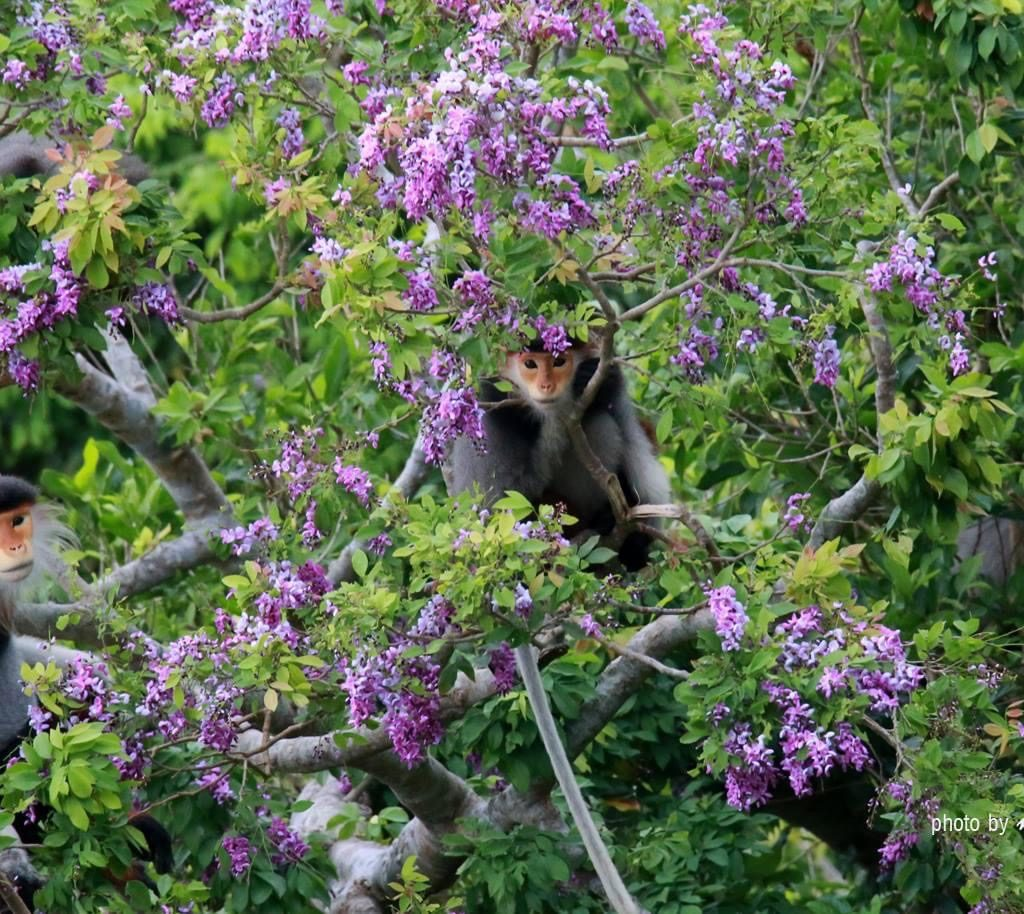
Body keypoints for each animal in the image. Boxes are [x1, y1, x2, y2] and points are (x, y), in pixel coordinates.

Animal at [442, 341, 671, 569]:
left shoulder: (615, 390)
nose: (546, 386)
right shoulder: (488, 411)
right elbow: (504, 501)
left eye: (559, 361)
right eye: (530, 364)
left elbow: (650, 487)